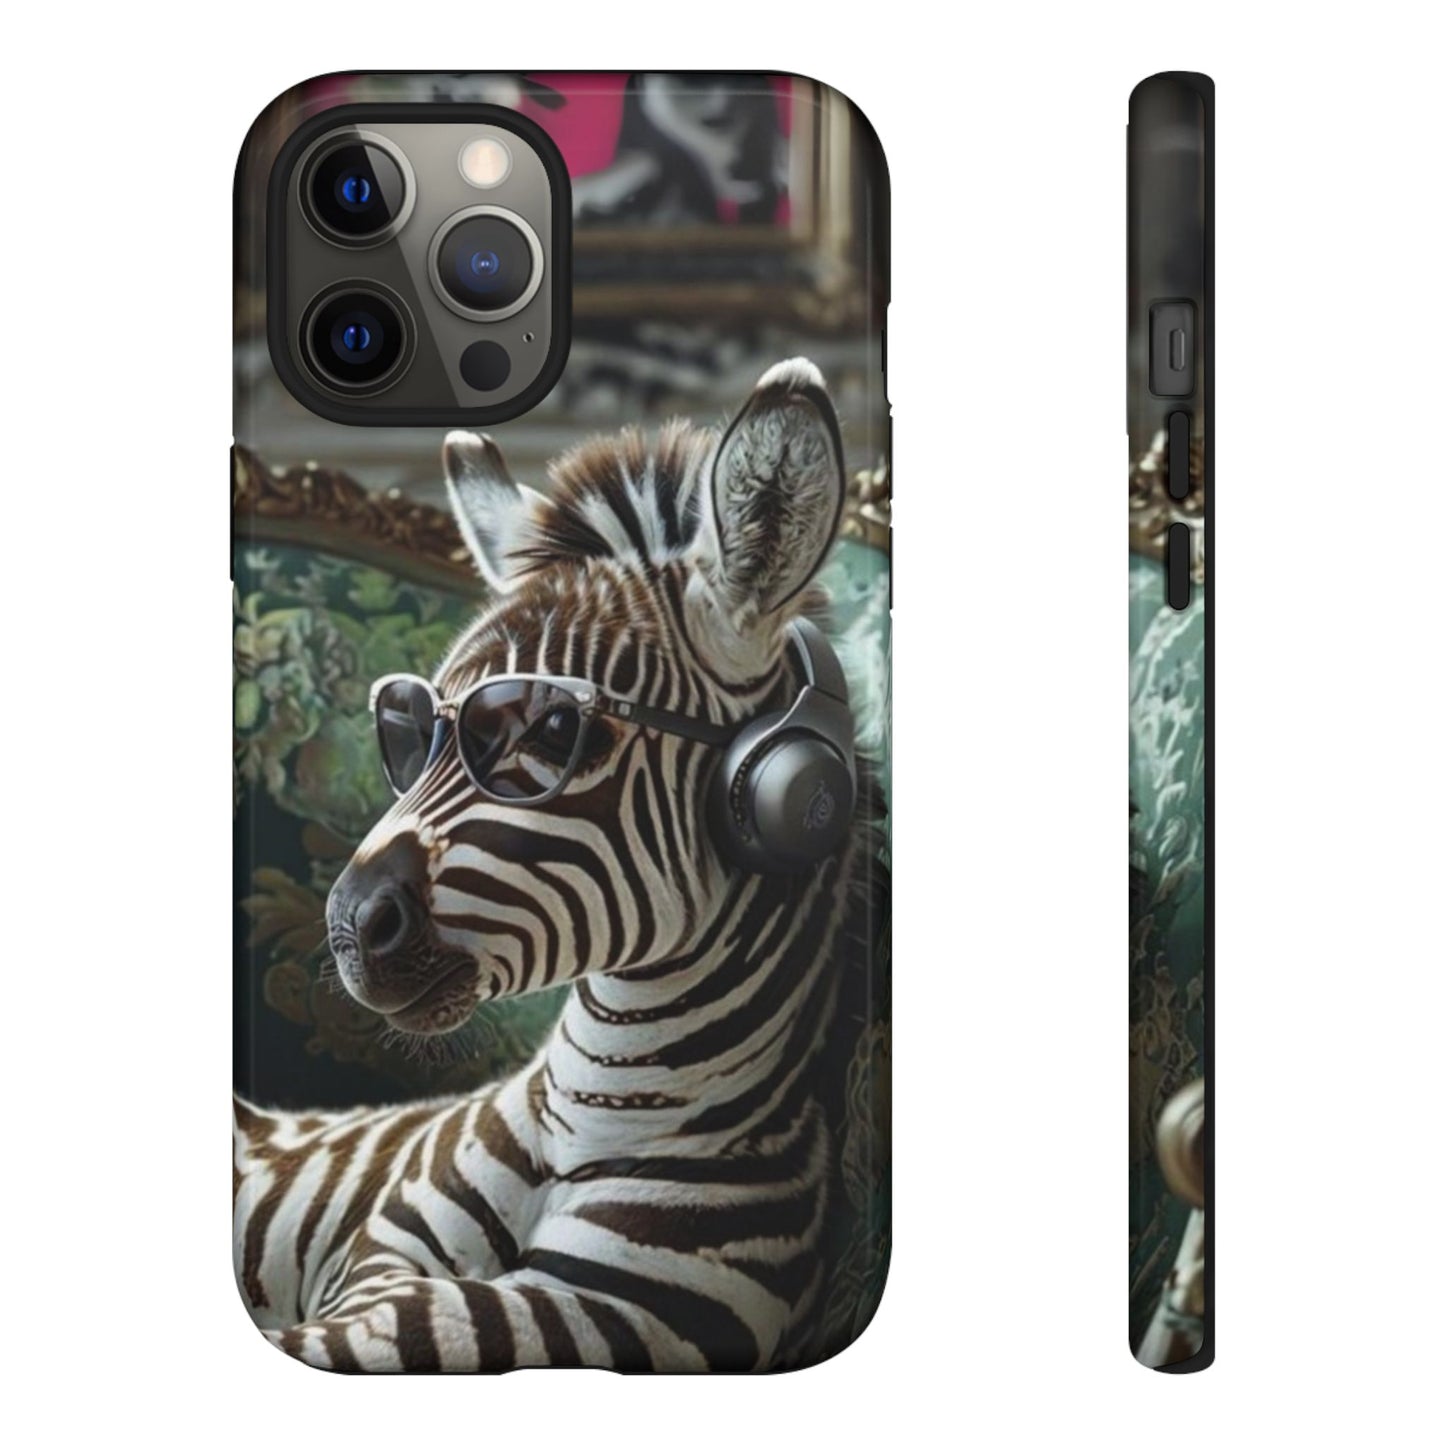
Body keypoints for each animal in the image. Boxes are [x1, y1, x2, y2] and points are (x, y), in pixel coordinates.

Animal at [233, 358, 887, 1372]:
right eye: (404, 729)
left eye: (548, 730)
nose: (345, 926)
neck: (583, 1123)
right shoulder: (383, 1254)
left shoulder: (574, 1313)